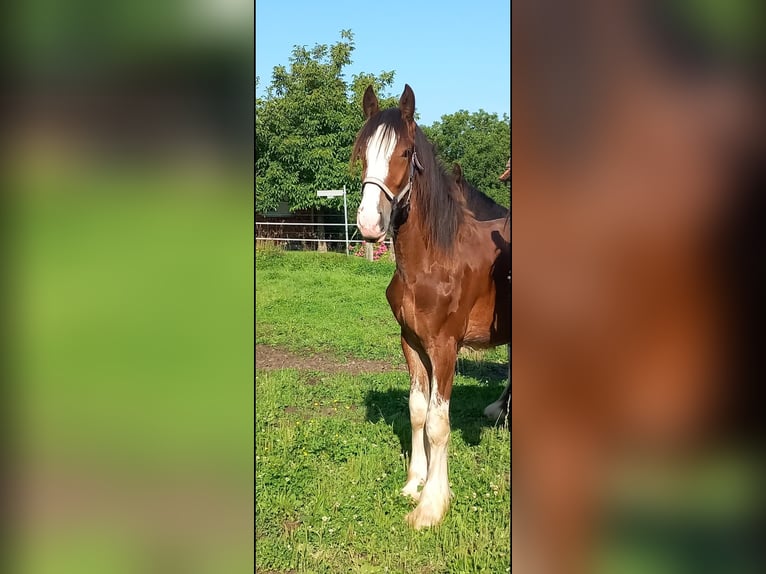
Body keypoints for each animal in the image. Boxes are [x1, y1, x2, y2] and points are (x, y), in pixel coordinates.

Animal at [352, 83, 510, 528]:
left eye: (406, 152)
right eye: (362, 150)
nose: (368, 223)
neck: (434, 260)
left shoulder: (444, 348)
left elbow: (439, 423)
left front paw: (431, 506)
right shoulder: (412, 342)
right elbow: (418, 410)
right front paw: (414, 484)